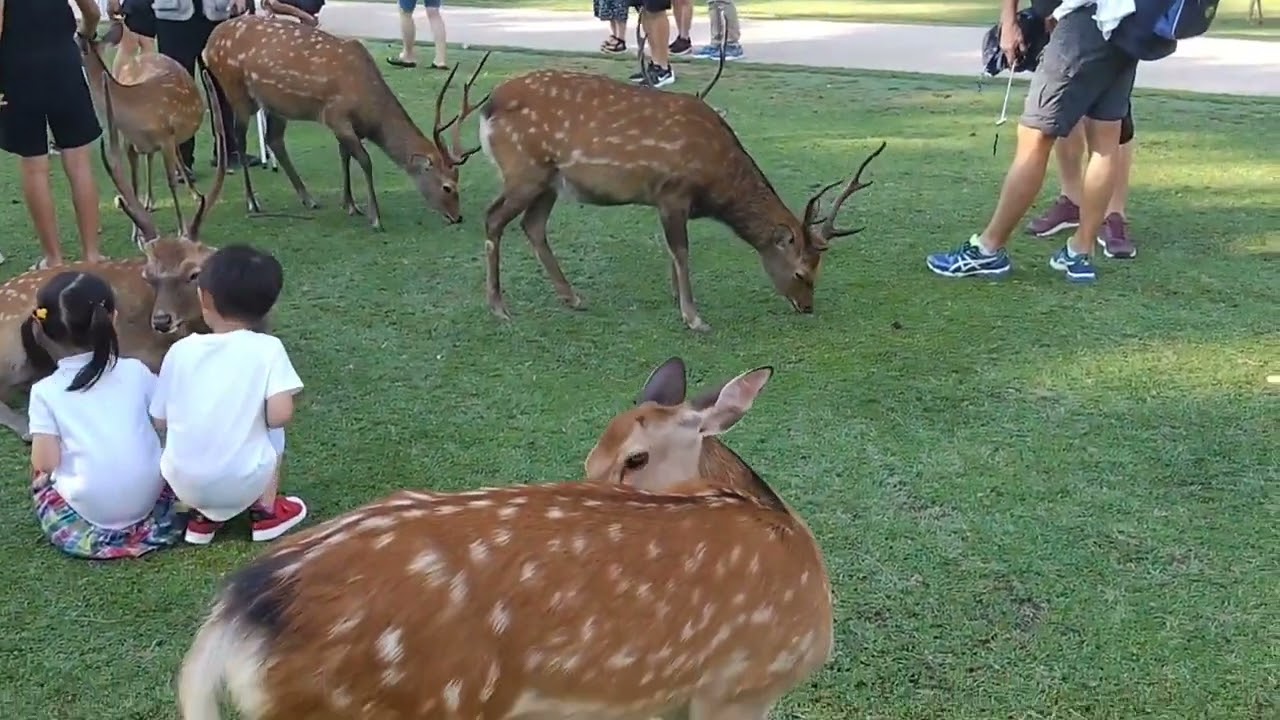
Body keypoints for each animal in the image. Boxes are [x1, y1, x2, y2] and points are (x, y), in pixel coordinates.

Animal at [79, 20, 208, 246]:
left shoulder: (166, 137)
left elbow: (171, 182)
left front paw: (182, 229)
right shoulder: (128, 142)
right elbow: (133, 184)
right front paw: (136, 233)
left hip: (172, 137)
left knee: (176, 155)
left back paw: (194, 194)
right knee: (150, 157)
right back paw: (150, 201)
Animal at [201, 5, 489, 230]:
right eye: (447, 187)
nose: (457, 217)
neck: (370, 112)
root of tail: (209, 43)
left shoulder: (347, 126)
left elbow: (345, 156)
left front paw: (350, 205)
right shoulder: (336, 116)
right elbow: (365, 160)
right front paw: (375, 218)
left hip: (275, 105)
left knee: (274, 139)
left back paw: (309, 198)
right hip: (236, 90)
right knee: (239, 138)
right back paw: (253, 201)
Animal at [476, 30, 885, 332]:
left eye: (820, 268)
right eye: (802, 272)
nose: (807, 306)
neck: (716, 183)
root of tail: (488, 106)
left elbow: (673, 253)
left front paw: (677, 299)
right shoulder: (673, 192)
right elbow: (682, 251)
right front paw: (694, 317)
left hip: (549, 180)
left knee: (533, 226)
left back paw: (572, 297)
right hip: (524, 170)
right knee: (494, 217)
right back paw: (499, 307)